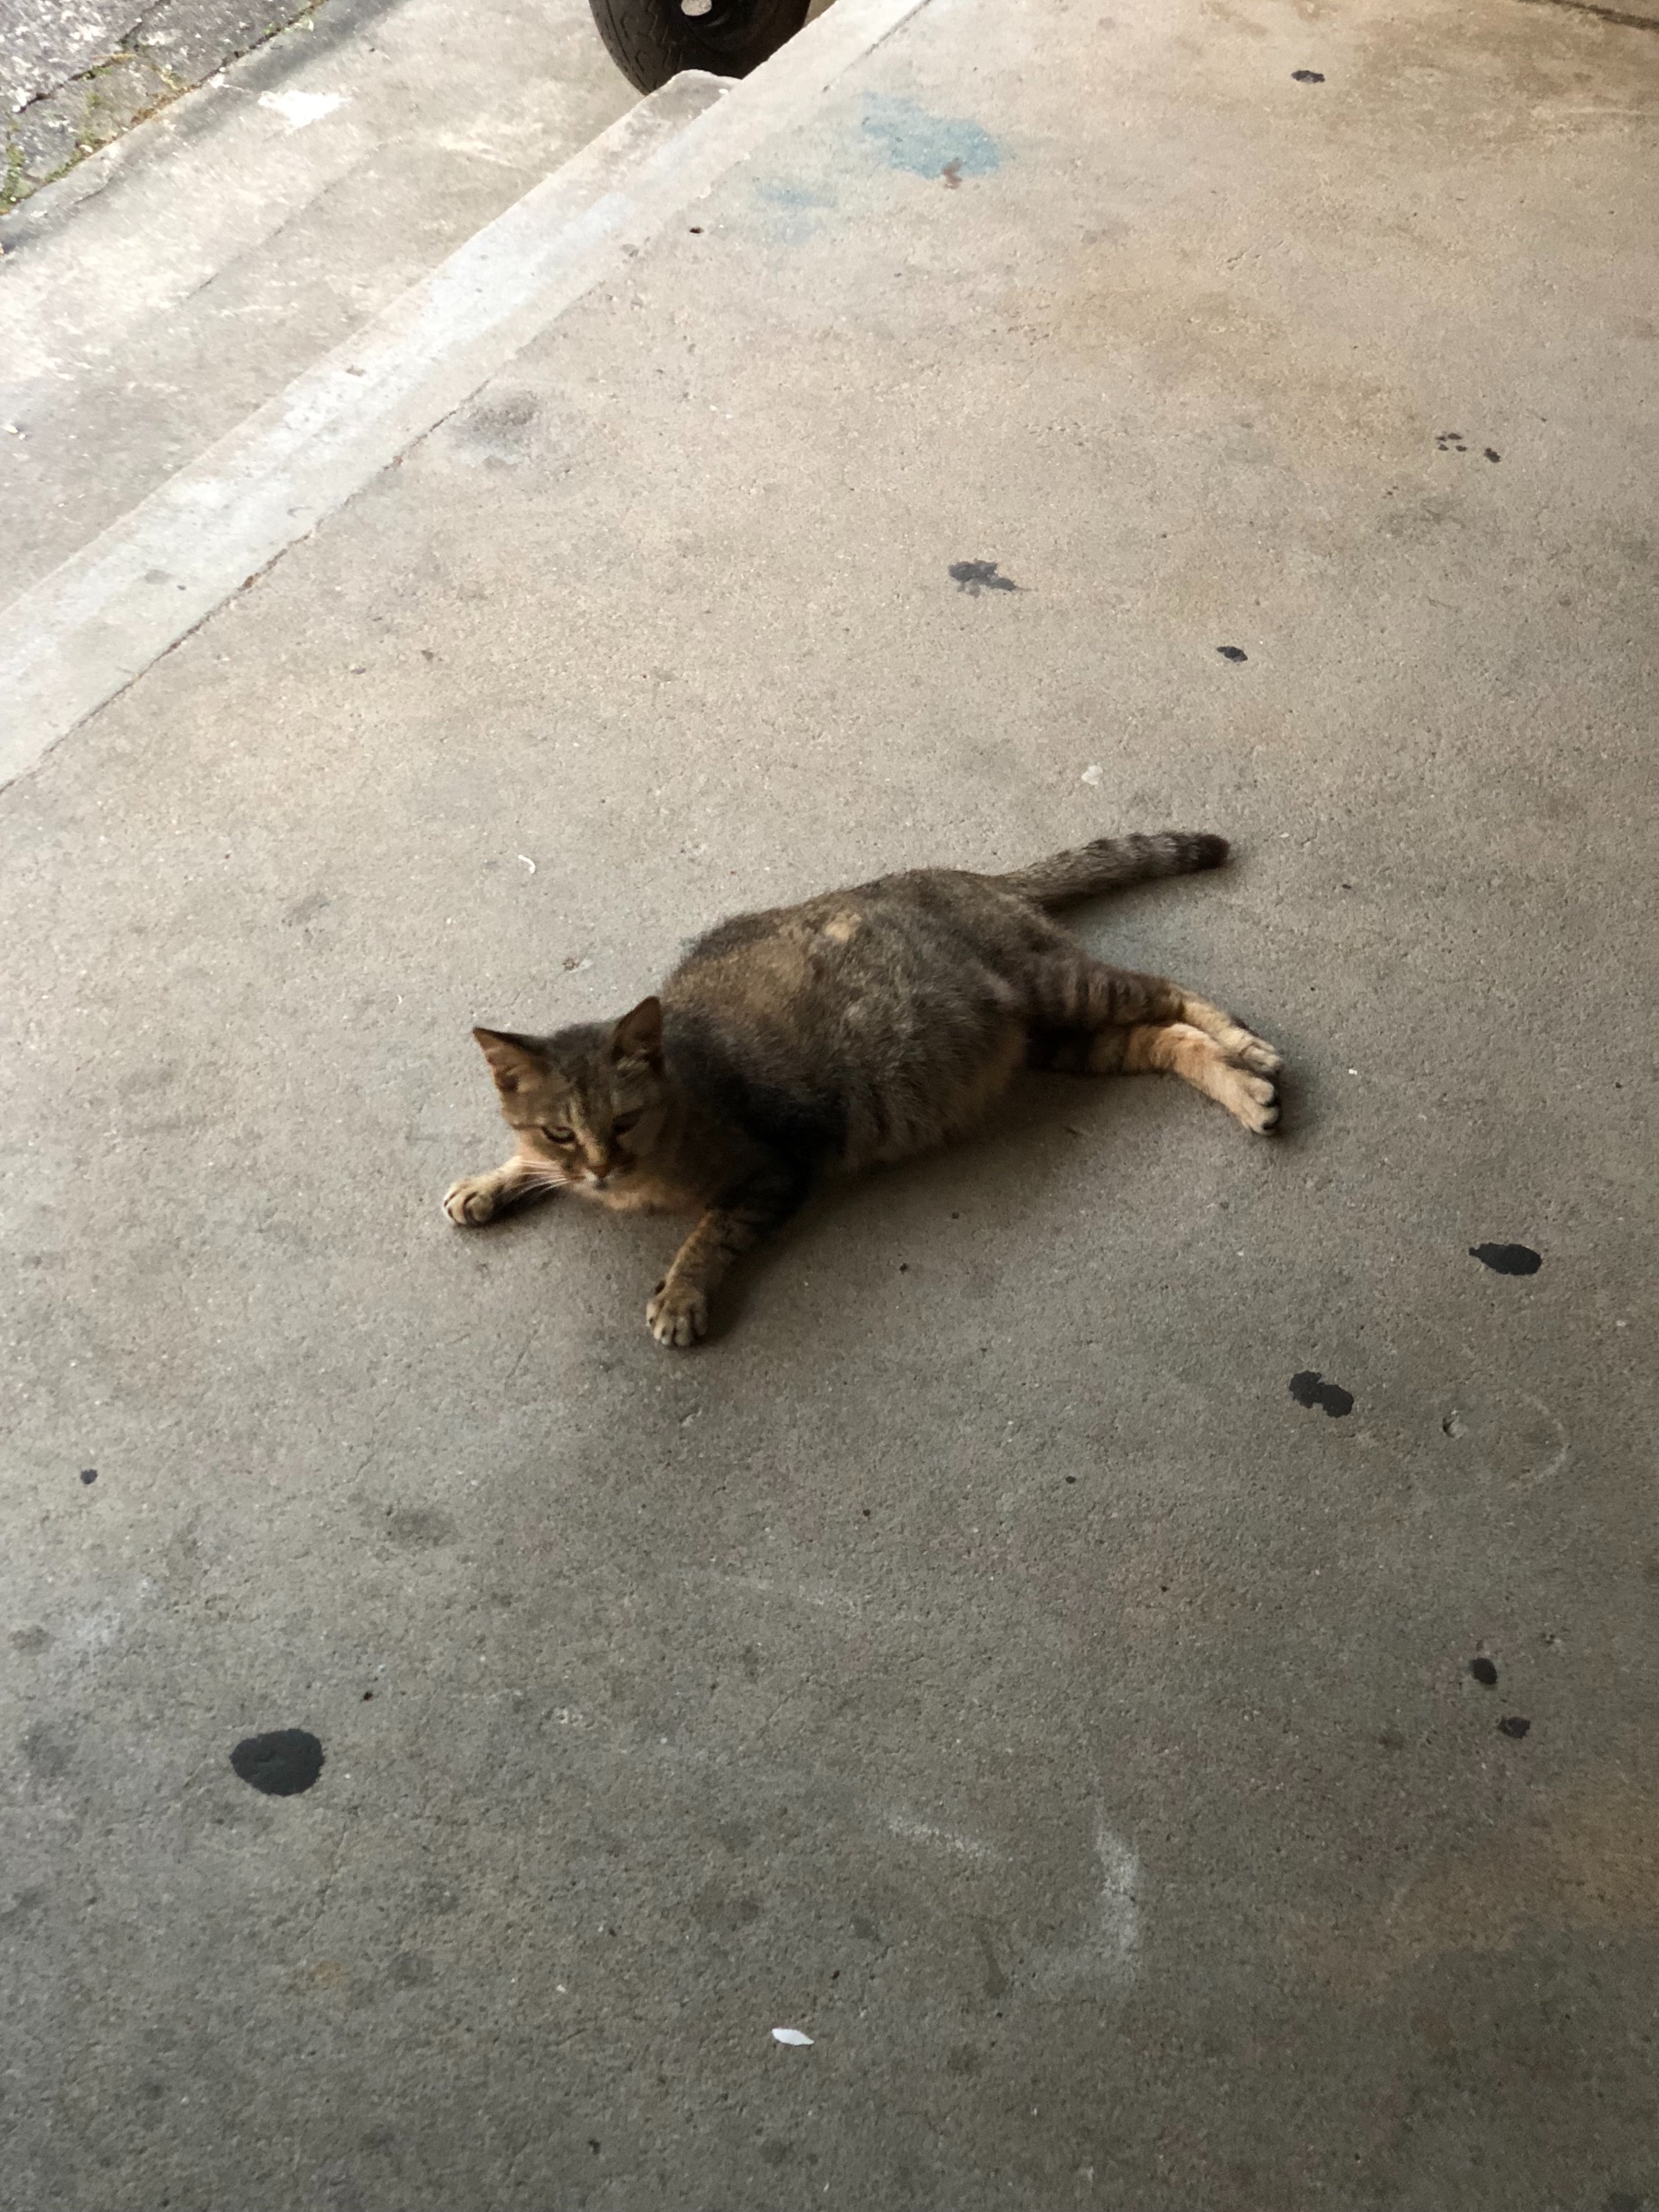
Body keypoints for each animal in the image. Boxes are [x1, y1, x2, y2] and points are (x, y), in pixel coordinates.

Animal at [443, 831, 1281, 1346]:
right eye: (560, 1130)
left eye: (625, 1122)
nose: (600, 1169)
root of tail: (959, 874)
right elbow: (524, 1166)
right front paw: (490, 1181)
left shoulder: (775, 1170)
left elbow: (710, 1231)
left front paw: (681, 1294)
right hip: (1065, 1040)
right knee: (1165, 1038)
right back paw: (1243, 1091)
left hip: (1062, 987)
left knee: (1169, 990)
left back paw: (1249, 1049)